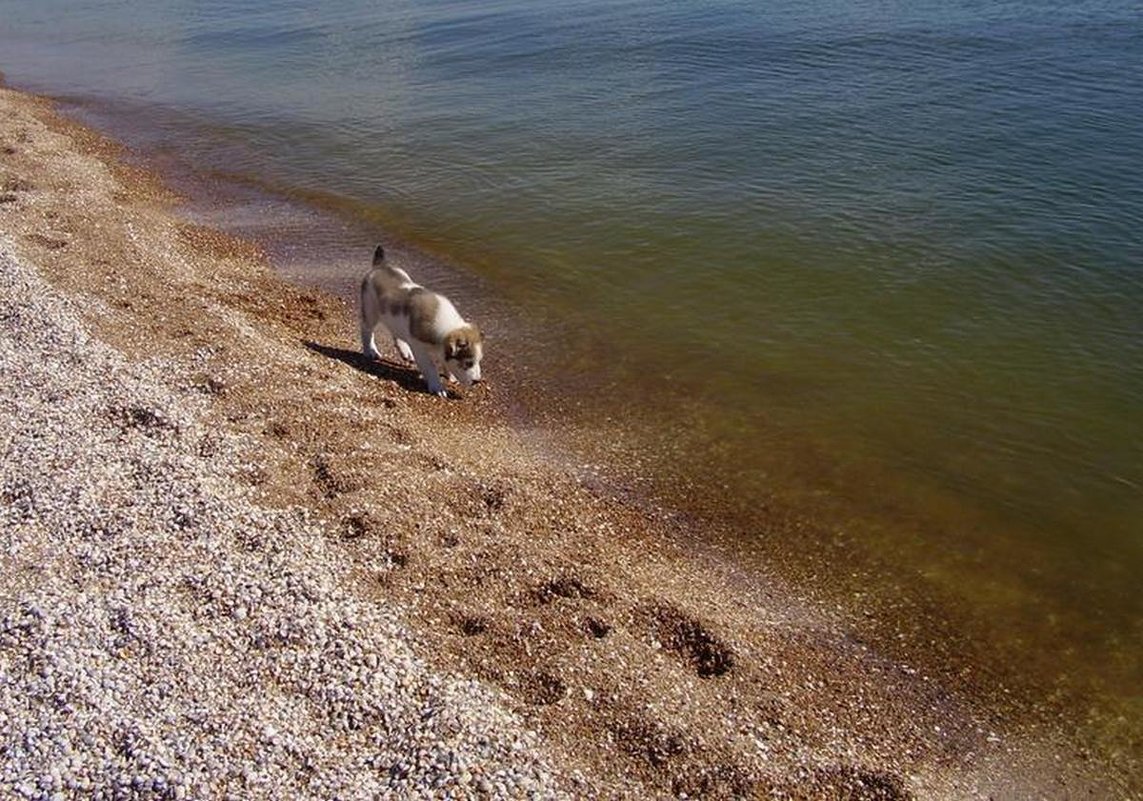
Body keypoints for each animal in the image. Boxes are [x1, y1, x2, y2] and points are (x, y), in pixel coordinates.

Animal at [356, 242, 482, 395]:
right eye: (468, 363)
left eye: (478, 361)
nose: (477, 381)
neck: (447, 327)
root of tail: (380, 266)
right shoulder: (419, 348)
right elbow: (431, 368)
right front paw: (437, 386)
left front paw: (450, 376)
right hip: (370, 310)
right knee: (367, 330)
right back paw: (370, 351)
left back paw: (404, 351)